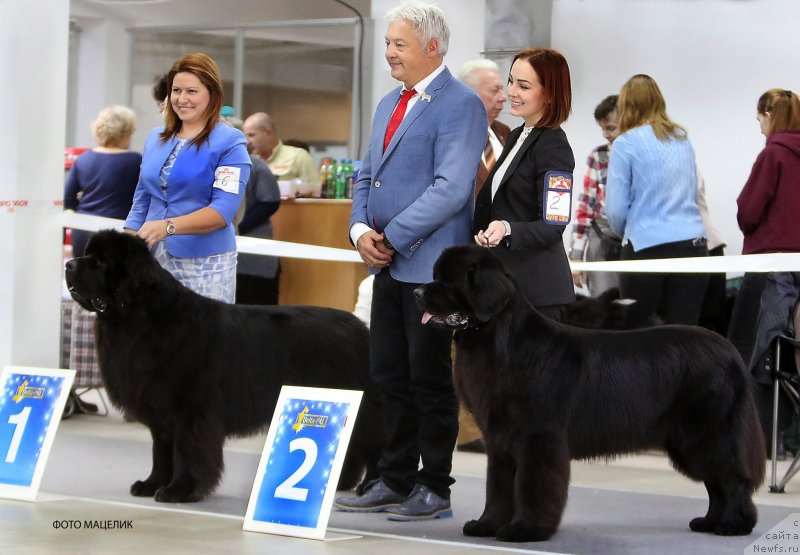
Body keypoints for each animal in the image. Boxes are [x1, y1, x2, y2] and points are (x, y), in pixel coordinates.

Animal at [64, 230, 382, 504]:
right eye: (87, 255)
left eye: (100, 262)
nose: (68, 264)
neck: (141, 319)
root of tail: (361, 329)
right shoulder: (160, 409)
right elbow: (161, 451)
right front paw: (151, 484)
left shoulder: (190, 411)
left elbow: (186, 451)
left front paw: (180, 490)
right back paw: (338, 483)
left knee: (372, 444)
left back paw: (369, 488)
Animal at [416, 247, 764, 544]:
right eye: (433, 275)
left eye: (447, 281)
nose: (417, 292)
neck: (499, 340)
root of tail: (727, 348)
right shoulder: (499, 437)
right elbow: (498, 486)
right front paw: (487, 525)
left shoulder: (537, 438)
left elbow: (531, 486)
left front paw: (525, 529)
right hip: (688, 442)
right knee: (716, 484)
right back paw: (709, 522)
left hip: (708, 433)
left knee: (732, 479)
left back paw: (733, 525)